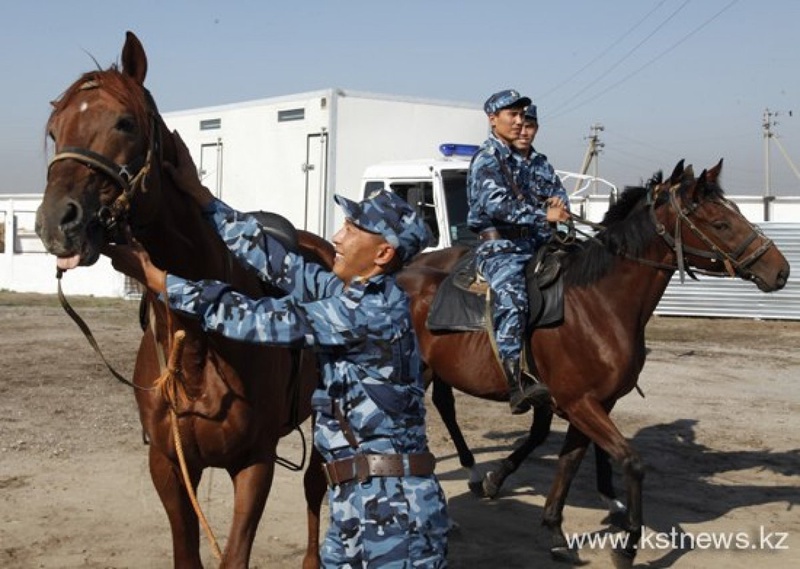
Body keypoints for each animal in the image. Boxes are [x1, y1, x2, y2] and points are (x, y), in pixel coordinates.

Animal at [36, 32, 330, 568]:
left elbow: (235, 555)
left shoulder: (254, 463)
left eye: (125, 123)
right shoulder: (170, 466)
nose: (55, 222)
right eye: (54, 130)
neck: (198, 343)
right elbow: (185, 552)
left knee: (317, 484)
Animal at [396, 162, 792, 564]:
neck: (597, 305)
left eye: (737, 212)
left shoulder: (594, 403)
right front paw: (628, 545)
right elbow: (630, 461)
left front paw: (555, 529)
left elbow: (570, 461)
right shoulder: (579, 402)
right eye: (720, 223)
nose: (781, 270)